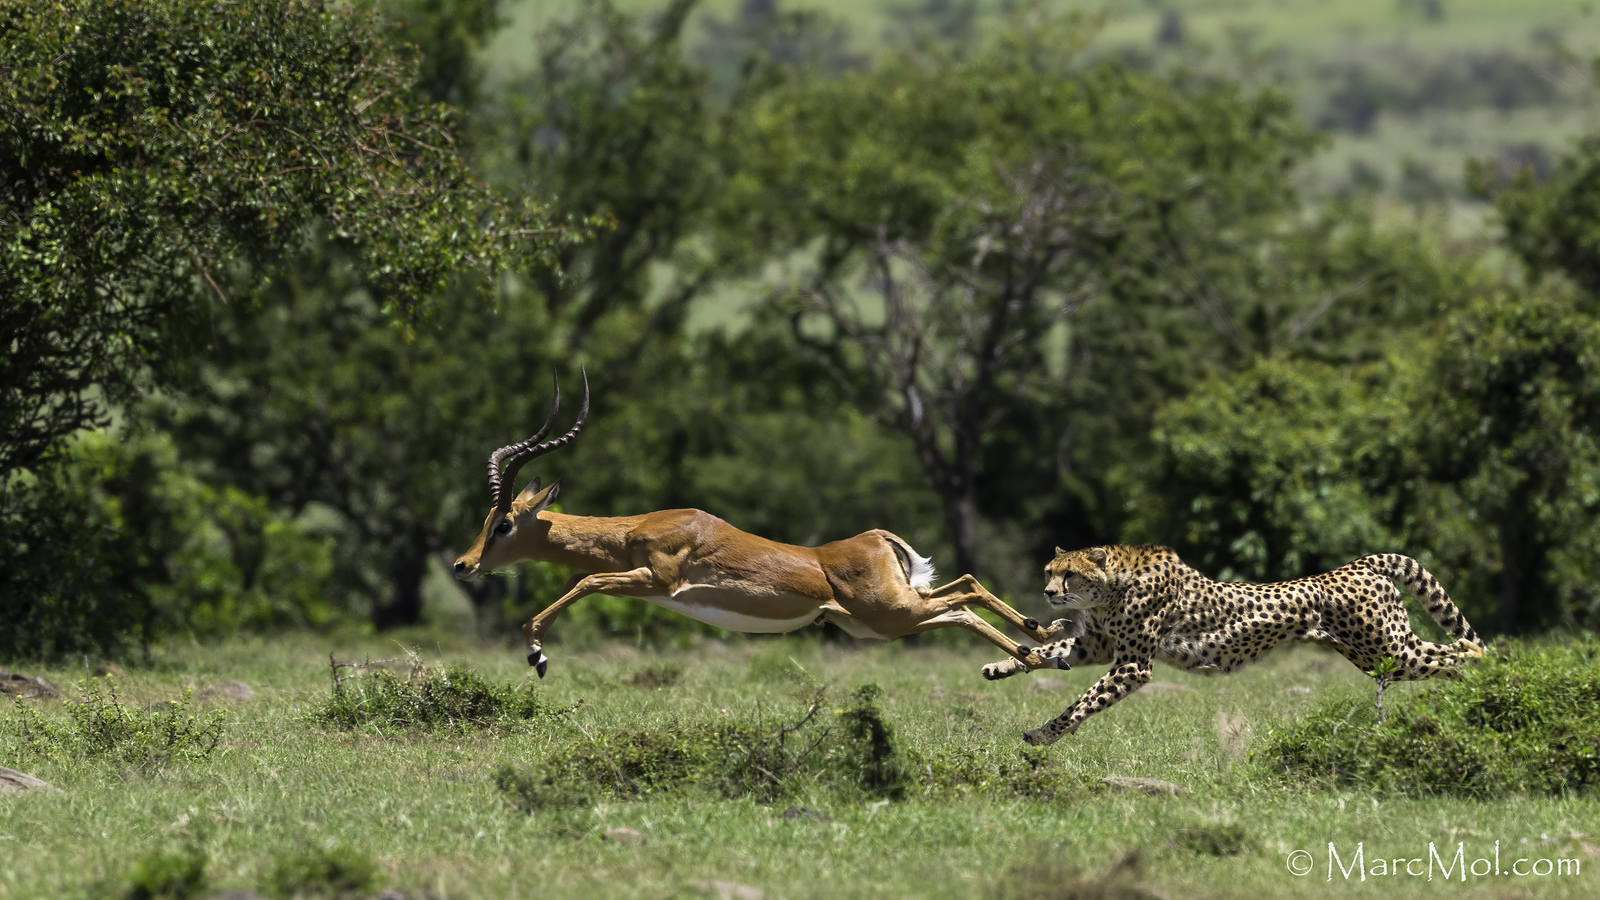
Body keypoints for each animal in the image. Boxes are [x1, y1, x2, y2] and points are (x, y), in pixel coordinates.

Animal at [453, 373, 1074, 676]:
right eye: (486, 519)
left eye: (503, 523)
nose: (463, 564)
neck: (634, 531)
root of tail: (875, 539)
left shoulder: (656, 581)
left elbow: (582, 582)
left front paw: (537, 655)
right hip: (878, 623)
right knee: (964, 590)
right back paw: (1043, 640)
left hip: (892, 615)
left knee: (964, 603)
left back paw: (1037, 653)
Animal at [981, 544, 1487, 746]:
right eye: (1050, 571)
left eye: (1069, 574)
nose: (1048, 593)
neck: (1110, 587)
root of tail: (1357, 564)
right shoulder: (1101, 648)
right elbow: (1051, 654)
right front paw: (1002, 665)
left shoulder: (1133, 665)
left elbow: (1083, 702)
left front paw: (1045, 734)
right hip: (1378, 650)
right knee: (1451, 652)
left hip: (1388, 649)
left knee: (1465, 650)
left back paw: (1486, 686)